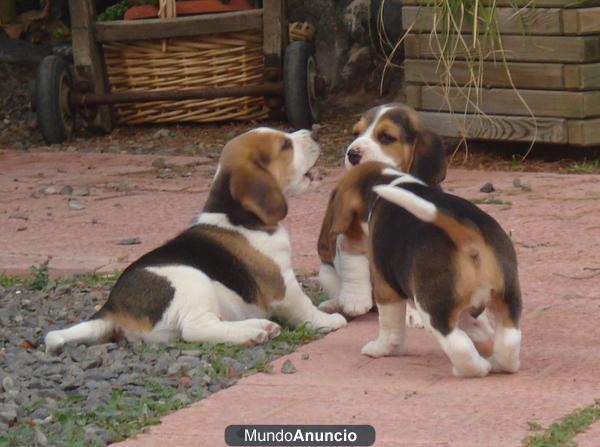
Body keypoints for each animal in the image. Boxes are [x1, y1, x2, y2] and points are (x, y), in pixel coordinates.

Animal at [45, 127, 346, 354]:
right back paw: (253, 333)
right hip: (193, 280)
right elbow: (303, 306)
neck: (237, 215)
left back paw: (260, 326)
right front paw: (328, 320)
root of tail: (112, 307)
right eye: (285, 145)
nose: (315, 133)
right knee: (195, 329)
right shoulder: (282, 281)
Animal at [326, 162, 524, 378]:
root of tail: (467, 237)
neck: (390, 180)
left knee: (458, 344)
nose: (342, 245)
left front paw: (381, 349)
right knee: (509, 339)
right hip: (507, 297)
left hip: (431, 307)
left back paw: (474, 368)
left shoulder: (386, 289)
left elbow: (390, 329)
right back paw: (498, 363)